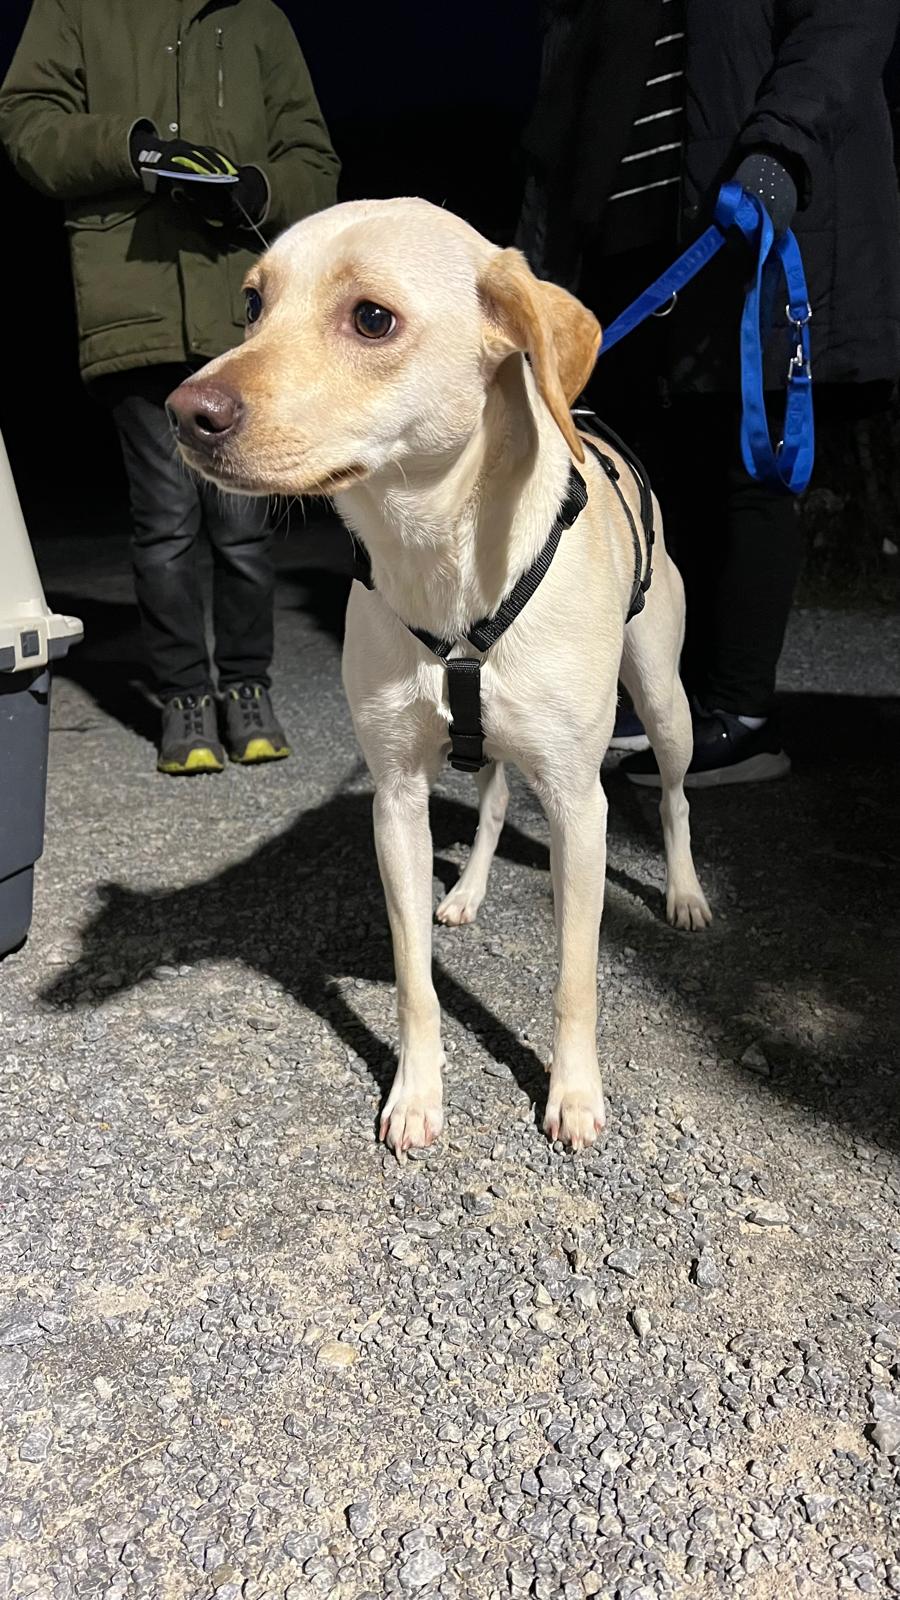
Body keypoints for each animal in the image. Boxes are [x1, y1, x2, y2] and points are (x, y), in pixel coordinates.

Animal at [166, 197, 711, 1156]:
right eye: (253, 303)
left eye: (372, 318)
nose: (185, 410)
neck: (440, 559)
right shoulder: (396, 798)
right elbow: (414, 977)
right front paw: (417, 1093)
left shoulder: (580, 804)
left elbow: (576, 979)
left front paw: (573, 1094)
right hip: (490, 747)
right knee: (491, 803)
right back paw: (468, 891)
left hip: (664, 700)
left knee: (677, 796)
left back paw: (682, 892)